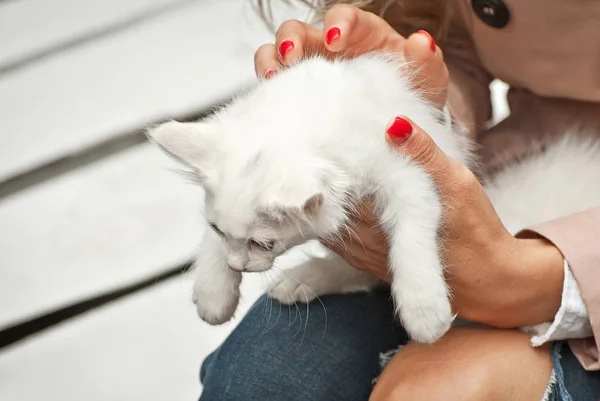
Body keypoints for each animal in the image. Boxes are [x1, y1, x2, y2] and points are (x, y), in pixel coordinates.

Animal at [149, 52, 474, 340]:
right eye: (217, 229)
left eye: (262, 244)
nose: (236, 266)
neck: (294, 124)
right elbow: (214, 243)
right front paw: (213, 291)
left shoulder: (406, 173)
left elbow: (410, 236)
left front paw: (423, 309)